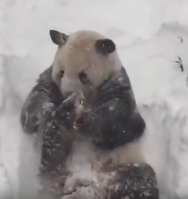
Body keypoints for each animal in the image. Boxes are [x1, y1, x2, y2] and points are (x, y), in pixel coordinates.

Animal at [19, 28, 158, 199]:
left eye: (83, 76)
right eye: (61, 73)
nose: (67, 95)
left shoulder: (116, 83)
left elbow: (125, 121)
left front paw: (85, 120)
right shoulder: (49, 79)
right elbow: (32, 106)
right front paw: (51, 111)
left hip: (120, 167)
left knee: (142, 177)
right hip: (53, 175)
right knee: (51, 153)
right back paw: (64, 116)